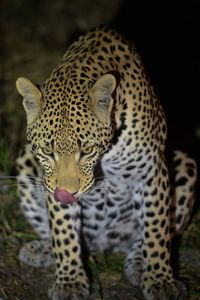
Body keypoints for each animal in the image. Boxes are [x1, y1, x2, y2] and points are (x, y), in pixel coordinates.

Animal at [15, 25, 197, 300]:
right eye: (47, 151)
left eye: (87, 150)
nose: (67, 193)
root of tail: (103, 244)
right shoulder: (50, 182)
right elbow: (63, 233)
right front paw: (69, 281)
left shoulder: (152, 172)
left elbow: (156, 230)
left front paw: (161, 280)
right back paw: (42, 250)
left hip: (185, 164)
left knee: (143, 238)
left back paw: (140, 265)